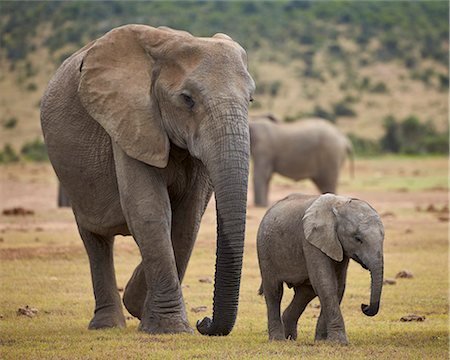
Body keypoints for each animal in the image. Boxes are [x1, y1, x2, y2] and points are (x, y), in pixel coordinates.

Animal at [40, 23, 255, 336]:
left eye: (250, 99)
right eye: (187, 99)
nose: (204, 322)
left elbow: (187, 219)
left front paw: (141, 305)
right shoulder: (130, 118)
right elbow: (149, 210)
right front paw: (169, 328)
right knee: (95, 238)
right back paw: (107, 325)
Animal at [256, 194, 384, 344]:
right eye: (357, 239)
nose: (364, 306)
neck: (339, 205)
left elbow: (338, 286)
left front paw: (322, 341)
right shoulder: (311, 241)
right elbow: (326, 284)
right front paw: (339, 343)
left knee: (305, 293)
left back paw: (290, 338)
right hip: (265, 249)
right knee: (274, 291)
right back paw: (278, 340)